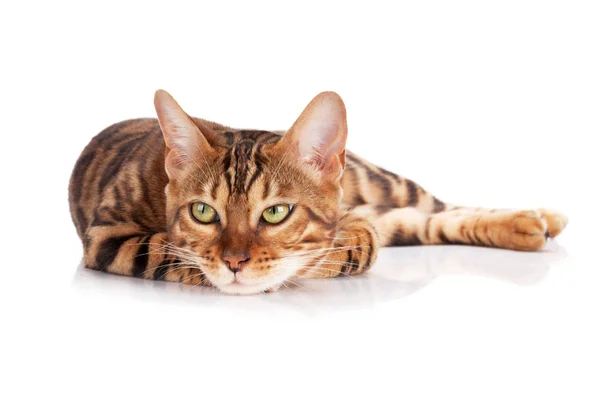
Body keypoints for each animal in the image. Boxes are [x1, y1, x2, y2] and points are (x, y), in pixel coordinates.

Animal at [69, 92, 568, 296]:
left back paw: (537, 218)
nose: (235, 261)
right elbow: (172, 252)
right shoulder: (110, 237)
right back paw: (530, 226)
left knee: (438, 208)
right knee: (424, 221)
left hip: (381, 180)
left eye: (276, 213)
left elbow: (351, 244)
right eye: (203, 213)